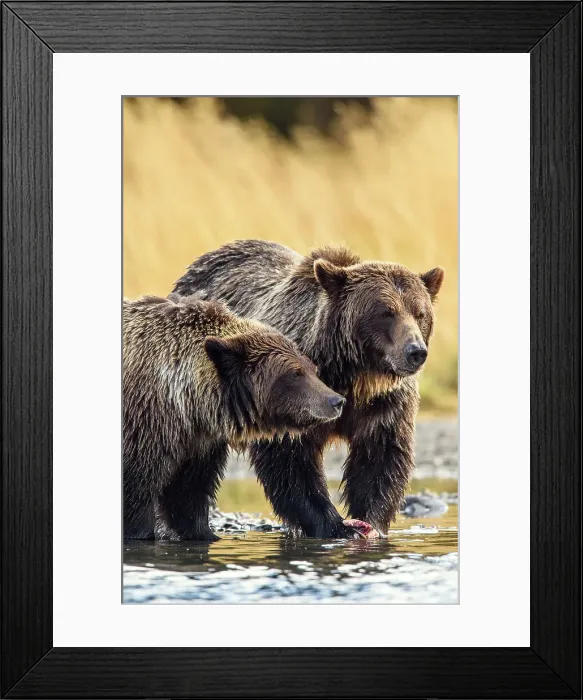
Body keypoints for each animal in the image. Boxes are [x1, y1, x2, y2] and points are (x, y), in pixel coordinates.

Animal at [123, 293, 352, 542]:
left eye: (313, 368)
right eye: (295, 373)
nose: (336, 401)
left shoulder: (198, 445)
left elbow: (187, 494)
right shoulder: (145, 427)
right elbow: (136, 493)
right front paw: (141, 534)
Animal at [173, 240, 444, 536]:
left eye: (420, 313)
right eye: (386, 312)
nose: (415, 352)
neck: (354, 377)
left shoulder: (385, 403)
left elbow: (380, 458)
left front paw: (371, 523)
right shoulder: (292, 393)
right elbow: (290, 462)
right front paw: (333, 525)